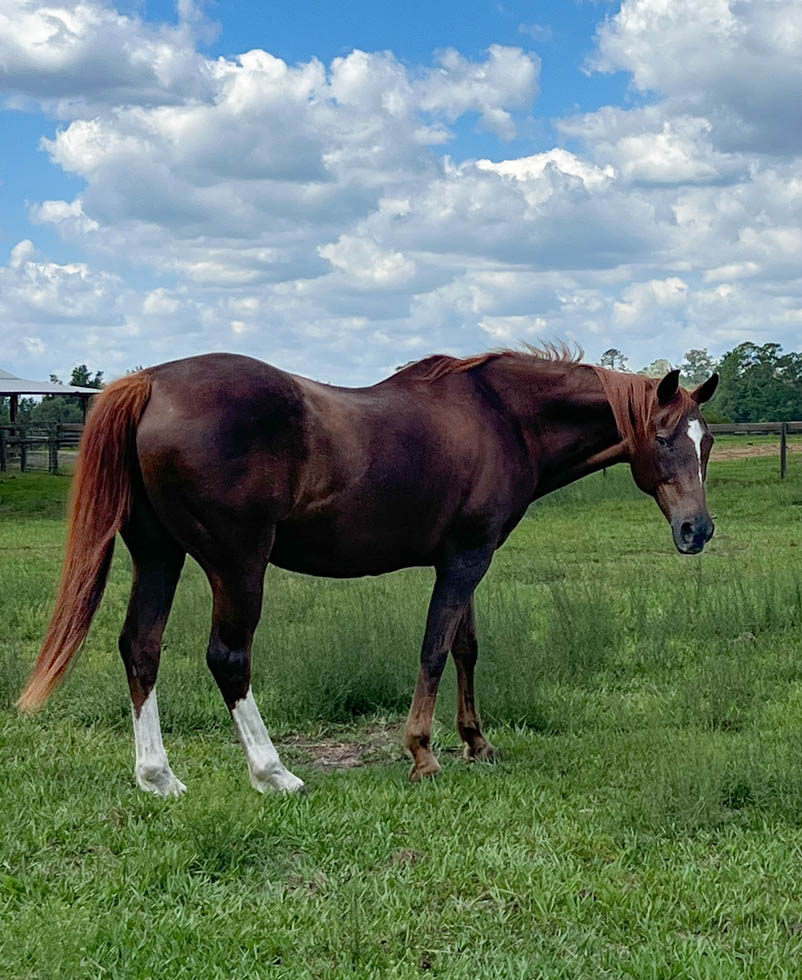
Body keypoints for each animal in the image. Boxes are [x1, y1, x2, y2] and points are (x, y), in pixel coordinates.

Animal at [17, 348, 719, 796]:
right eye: (662, 437)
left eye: (706, 440)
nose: (698, 530)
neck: (502, 416)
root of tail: (150, 384)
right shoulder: (465, 561)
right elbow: (434, 650)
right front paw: (423, 754)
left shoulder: (467, 558)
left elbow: (466, 648)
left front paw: (477, 744)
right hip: (236, 566)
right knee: (229, 658)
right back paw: (274, 773)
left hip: (160, 557)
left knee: (141, 647)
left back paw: (158, 778)